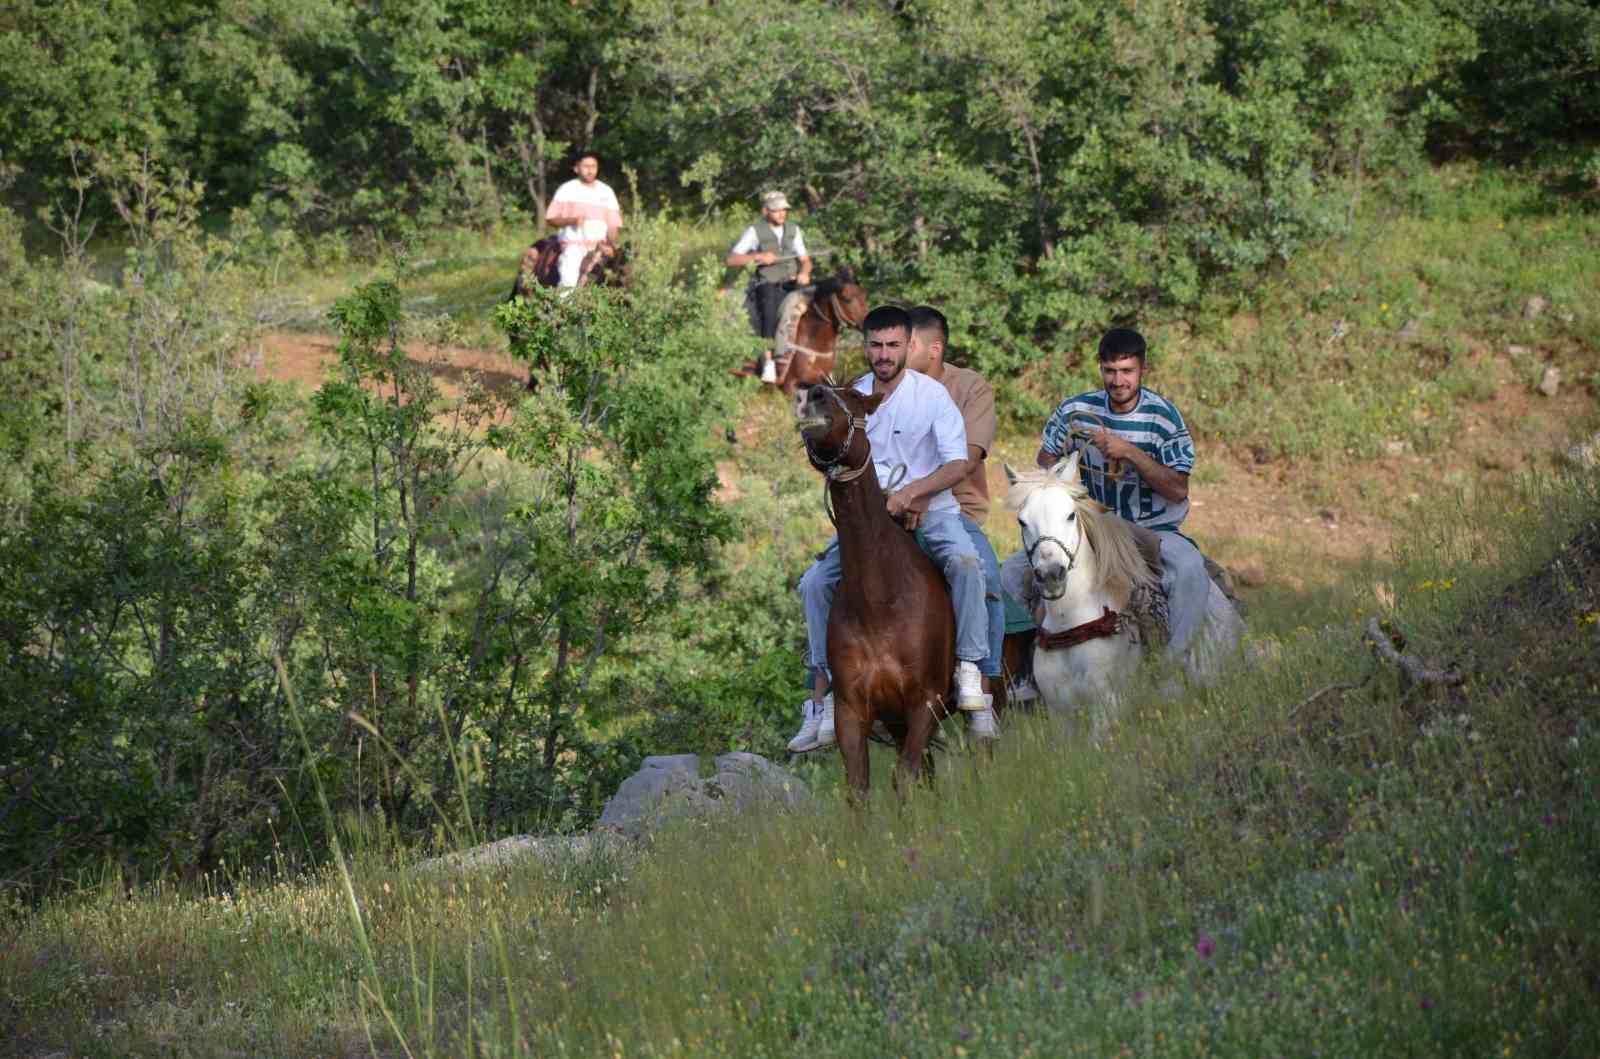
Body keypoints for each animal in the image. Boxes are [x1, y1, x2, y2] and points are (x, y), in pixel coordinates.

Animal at [1004, 454, 1241, 739]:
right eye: (1022, 521)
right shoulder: (1061, 716)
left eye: (1070, 515)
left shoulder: (1106, 708)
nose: (1051, 575)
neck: (1070, 623)